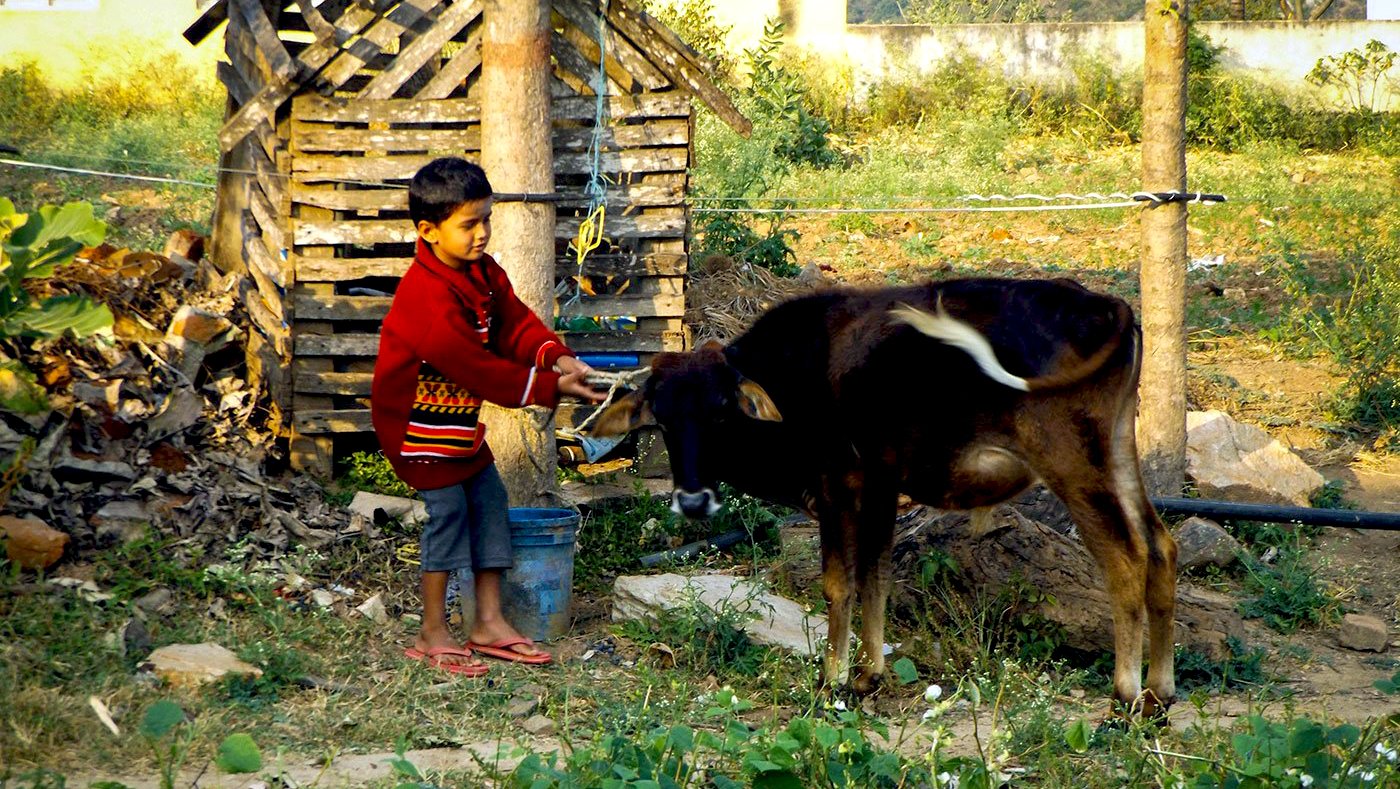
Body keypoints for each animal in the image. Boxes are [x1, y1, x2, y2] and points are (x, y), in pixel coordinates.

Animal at [585, 275, 1176, 716]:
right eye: (661, 416)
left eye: (721, 411)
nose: (692, 501)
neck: (791, 377)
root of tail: (1107, 305)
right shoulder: (881, 492)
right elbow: (876, 577)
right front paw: (869, 675)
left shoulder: (835, 489)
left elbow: (839, 584)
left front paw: (832, 680)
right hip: (1118, 452)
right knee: (1162, 547)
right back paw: (1160, 690)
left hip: (1073, 464)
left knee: (1126, 559)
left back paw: (1126, 696)